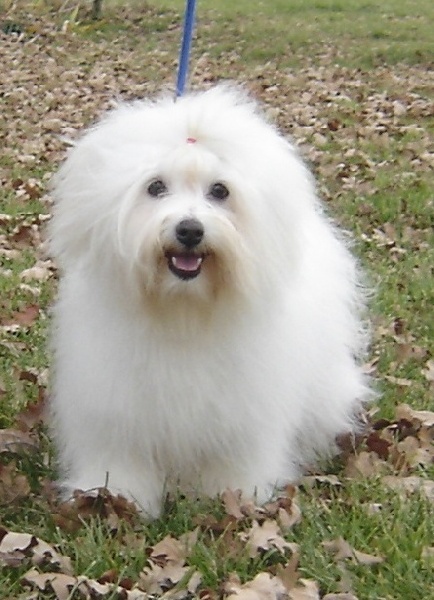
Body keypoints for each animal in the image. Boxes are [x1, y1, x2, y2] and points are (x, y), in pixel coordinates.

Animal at [49, 85, 372, 518]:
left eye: (220, 191)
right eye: (155, 187)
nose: (189, 229)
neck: (184, 312)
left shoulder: (243, 409)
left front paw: (233, 494)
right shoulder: (118, 403)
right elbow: (120, 454)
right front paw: (117, 496)